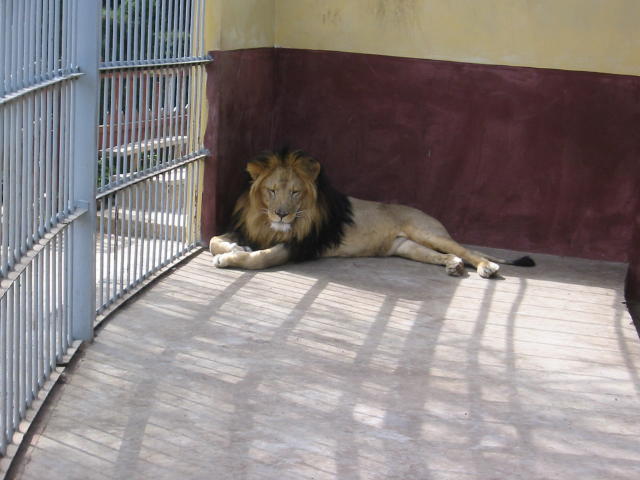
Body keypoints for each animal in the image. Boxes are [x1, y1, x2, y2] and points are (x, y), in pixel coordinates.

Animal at [211, 150, 536, 278]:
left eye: (295, 192)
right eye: (271, 191)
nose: (281, 215)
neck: (267, 222)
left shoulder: (299, 247)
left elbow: (259, 259)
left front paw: (230, 258)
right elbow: (216, 240)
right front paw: (234, 247)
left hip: (426, 231)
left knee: (468, 251)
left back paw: (486, 267)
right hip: (408, 247)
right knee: (446, 255)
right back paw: (453, 266)